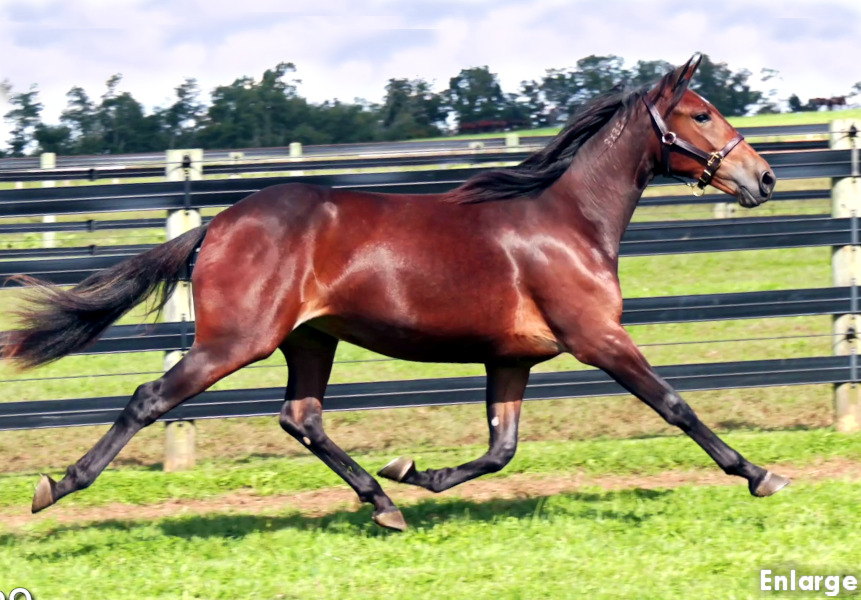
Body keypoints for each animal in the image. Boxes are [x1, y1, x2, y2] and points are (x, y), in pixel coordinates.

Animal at [3, 55, 784, 528]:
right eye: (701, 113)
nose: (764, 177)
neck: (567, 220)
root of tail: (217, 225)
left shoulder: (511, 358)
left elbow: (500, 448)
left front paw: (414, 471)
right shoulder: (597, 338)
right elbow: (675, 404)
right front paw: (758, 474)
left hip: (308, 340)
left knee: (302, 417)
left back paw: (382, 502)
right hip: (235, 341)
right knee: (151, 398)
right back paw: (57, 487)